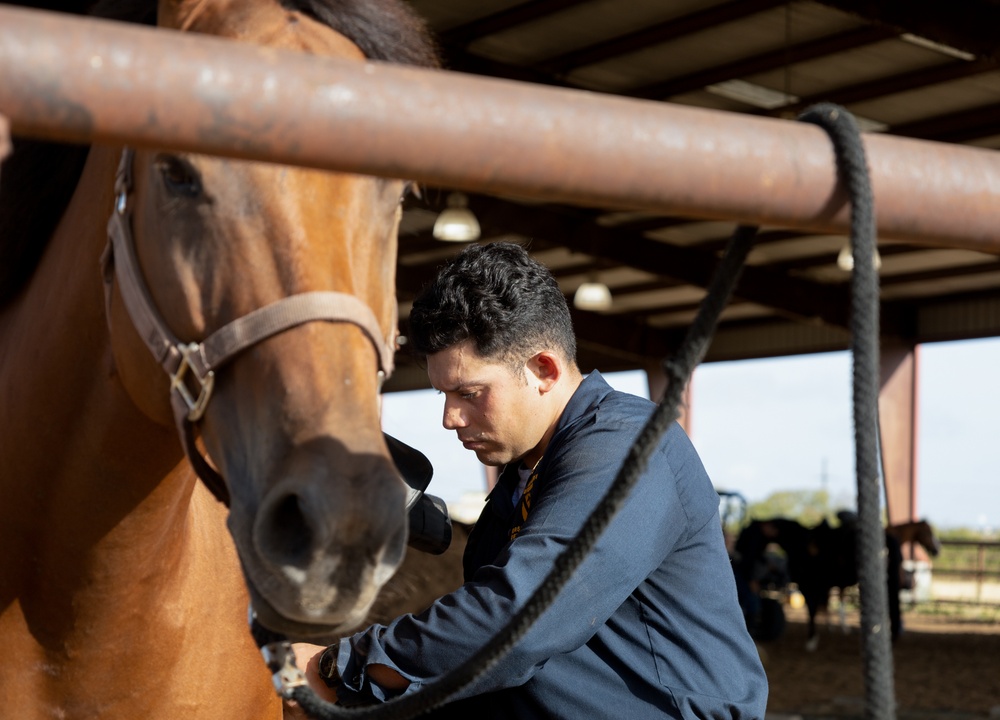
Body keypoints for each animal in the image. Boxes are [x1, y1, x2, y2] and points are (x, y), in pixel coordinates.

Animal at [736, 516, 916, 648]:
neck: (800, 543)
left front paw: (811, 640)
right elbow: (823, 608)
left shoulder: (809, 586)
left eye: (748, 532)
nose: (737, 549)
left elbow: (812, 610)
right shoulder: (823, 588)